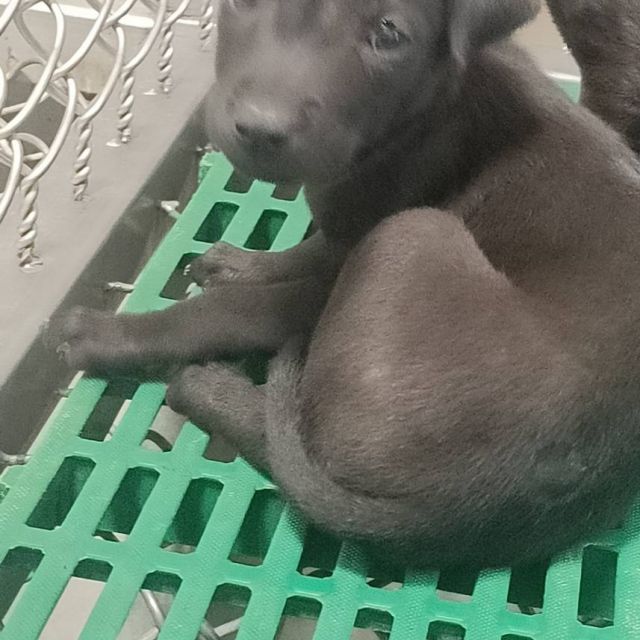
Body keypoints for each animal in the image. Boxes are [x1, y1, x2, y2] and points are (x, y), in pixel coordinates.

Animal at [48, 0, 640, 568]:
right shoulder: (344, 225)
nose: (259, 130)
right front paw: (240, 263)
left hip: (412, 233)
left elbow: (231, 310)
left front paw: (112, 335)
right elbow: (306, 249)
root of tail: (476, 504)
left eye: (389, 33)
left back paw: (210, 388)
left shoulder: (348, 256)